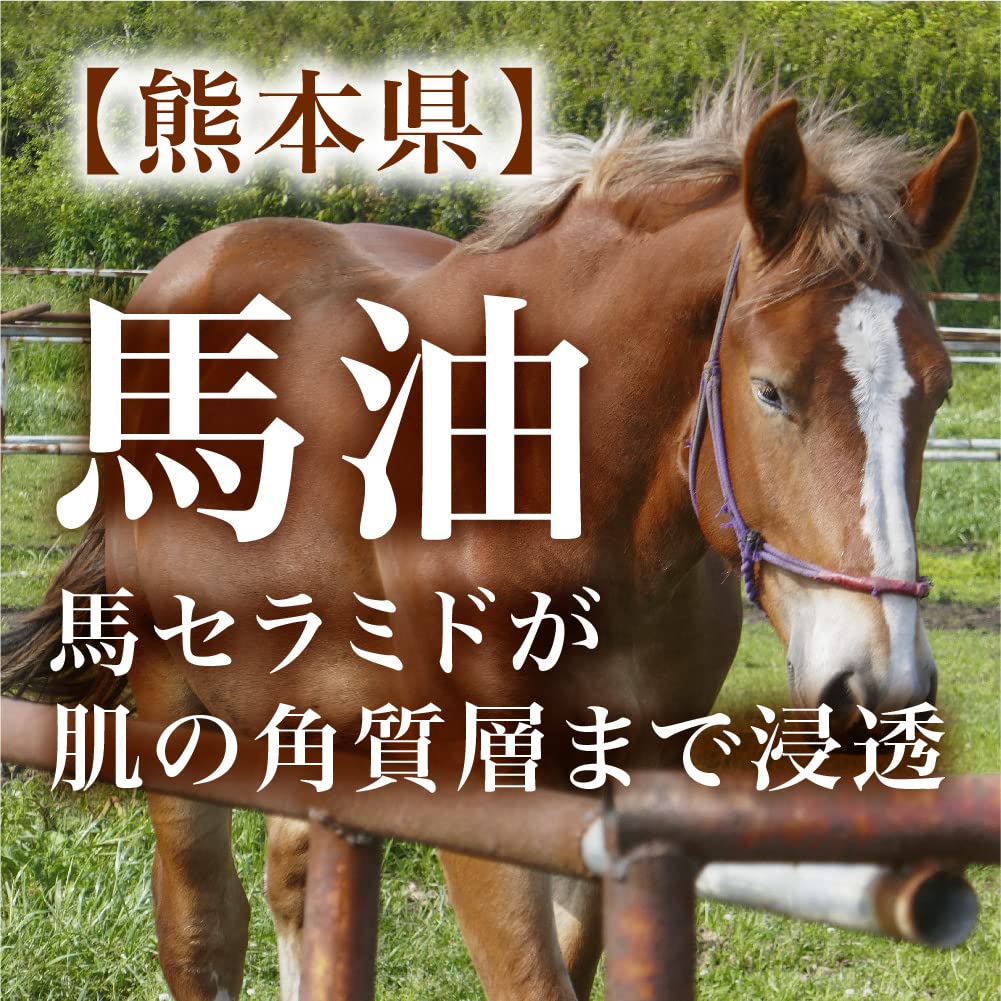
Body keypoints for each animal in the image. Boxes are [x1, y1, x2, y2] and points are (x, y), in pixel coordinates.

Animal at [4, 66, 978, 1001]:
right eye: (770, 390)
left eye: (936, 389)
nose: (880, 688)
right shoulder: (474, 798)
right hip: (173, 703)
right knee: (202, 927)